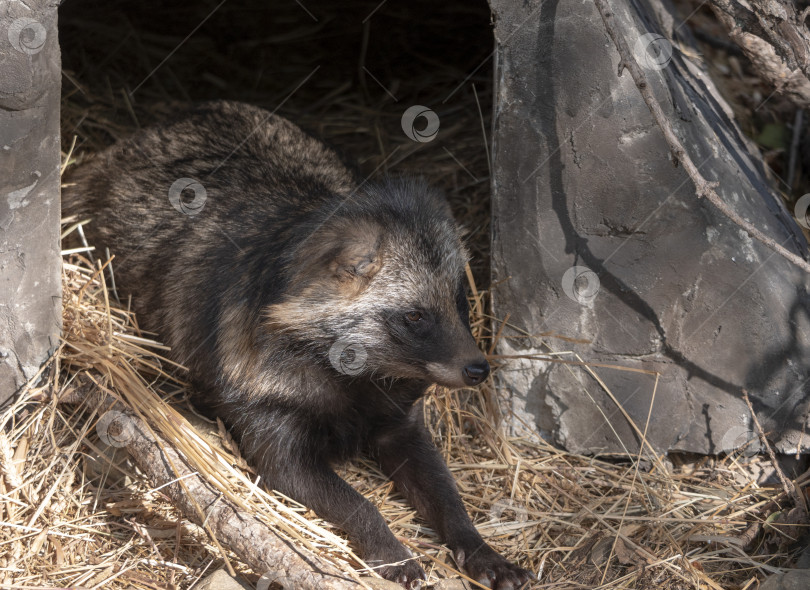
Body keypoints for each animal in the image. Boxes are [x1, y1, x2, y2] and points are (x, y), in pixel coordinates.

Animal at [63, 103, 532, 590]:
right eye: (416, 316)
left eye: (461, 300)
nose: (479, 369)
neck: (352, 377)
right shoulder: (269, 421)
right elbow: (353, 500)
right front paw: (388, 547)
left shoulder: (400, 422)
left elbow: (448, 497)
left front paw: (481, 549)